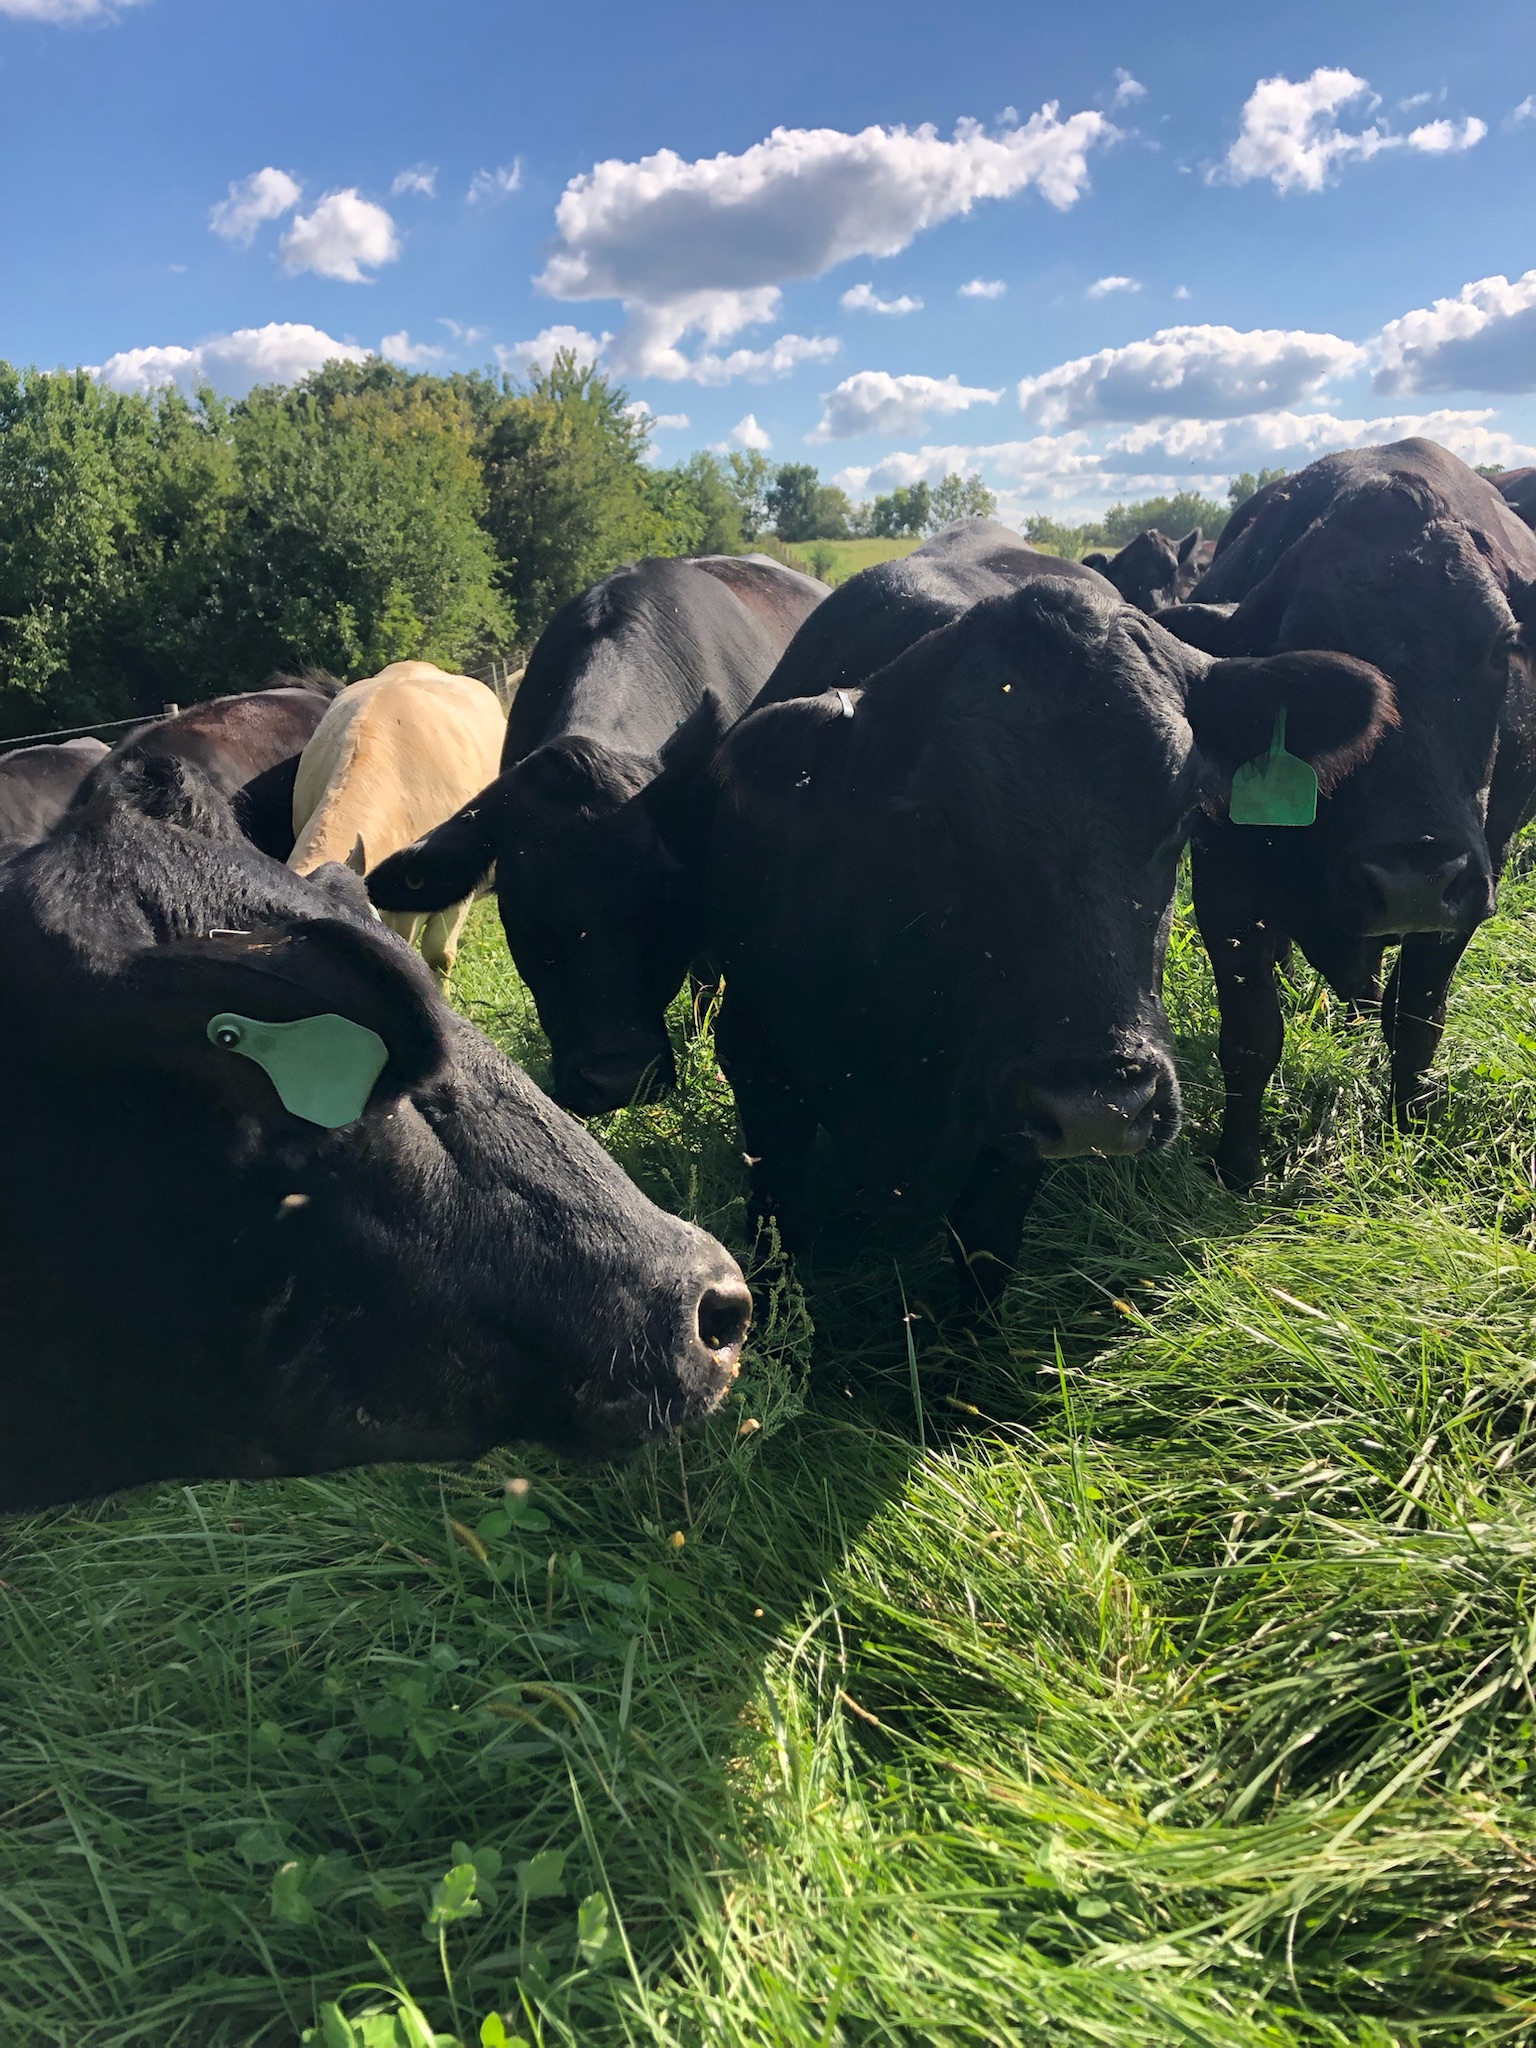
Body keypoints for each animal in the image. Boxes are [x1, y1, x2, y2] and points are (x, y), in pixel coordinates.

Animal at [707, 569, 1391, 1301]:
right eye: (933, 818)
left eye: (1184, 809)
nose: (1101, 1108)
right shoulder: (758, 1067)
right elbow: (779, 1253)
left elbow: (985, 1253)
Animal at [1154, 438, 1536, 1191]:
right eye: (1307, 648)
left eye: (1498, 646)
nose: (1412, 881)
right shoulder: (1224, 885)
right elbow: (1251, 1037)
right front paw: (1237, 1165)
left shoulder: (1473, 886)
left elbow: (1419, 1020)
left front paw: (1409, 1127)